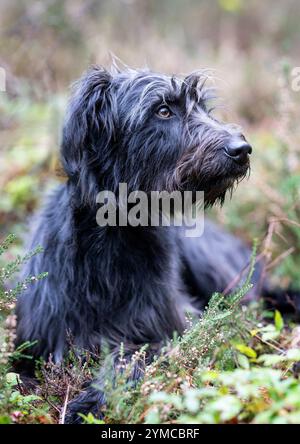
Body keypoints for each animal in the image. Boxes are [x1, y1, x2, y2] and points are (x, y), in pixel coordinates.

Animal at [15, 64, 300, 422]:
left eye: (203, 107)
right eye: (163, 111)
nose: (242, 149)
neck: (116, 240)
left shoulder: (179, 324)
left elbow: (137, 354)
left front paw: (93, 398)